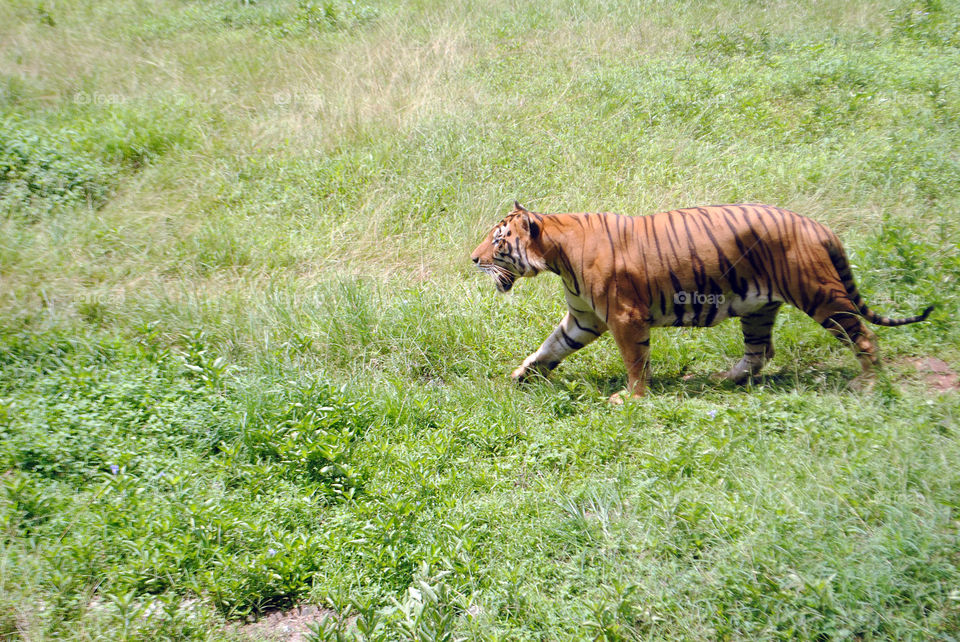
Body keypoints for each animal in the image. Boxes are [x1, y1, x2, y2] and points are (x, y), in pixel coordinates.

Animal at [470, 201, 934, 402]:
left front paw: (632, 398)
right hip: (758, 308)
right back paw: (724, 379)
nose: (473, 259)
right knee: (760, 351)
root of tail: (817, 225)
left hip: (821, 296)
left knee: (864, 336)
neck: (557, 255)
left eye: (498, 241)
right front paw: (522, 375)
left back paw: (868, 384)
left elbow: (635, 361)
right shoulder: (583, 318)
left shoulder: (625, 317)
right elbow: (550, 347)